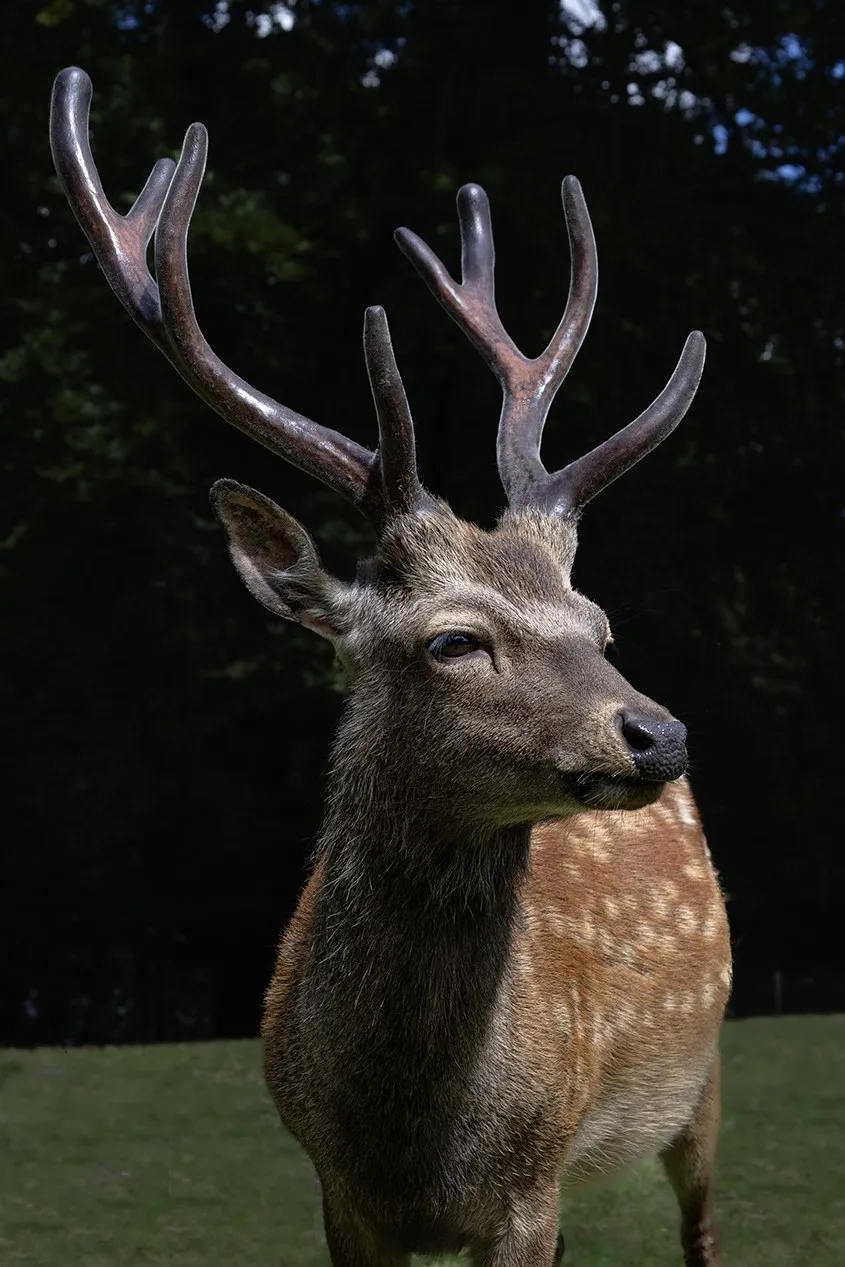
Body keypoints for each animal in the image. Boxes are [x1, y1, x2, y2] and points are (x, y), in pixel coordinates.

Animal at [50, 66, 732, 1267]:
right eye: (452, 639)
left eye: (596, 624)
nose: (658, 731)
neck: (411, 1134)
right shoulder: (337, 1191)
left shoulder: (531, 1188)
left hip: (699, 1082)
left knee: (704, 1228)